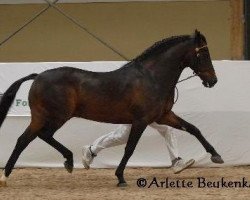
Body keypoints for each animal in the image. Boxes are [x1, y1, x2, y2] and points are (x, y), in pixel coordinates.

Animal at [0, 30, 224, 188]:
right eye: (203, 52)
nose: (213, 81)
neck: (152, 77)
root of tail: (38, 76)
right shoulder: (141, 120)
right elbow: (130, 148)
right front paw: (120, 177)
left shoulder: (163, 116)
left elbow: (193, 128)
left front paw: (215, 155)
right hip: (57, 117)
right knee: (41, 136)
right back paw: (68, 161)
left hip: (40, 117)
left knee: (24, 139)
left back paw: (6, 176)